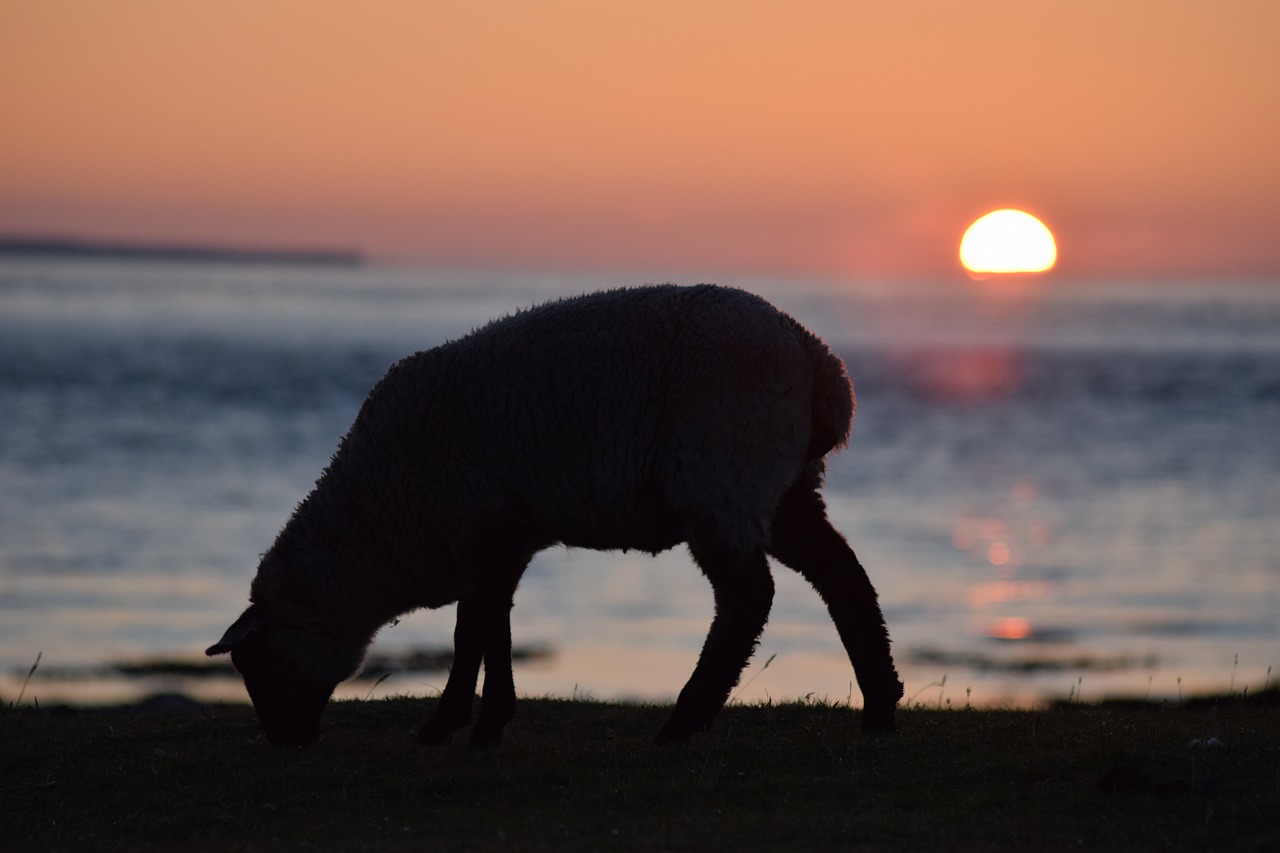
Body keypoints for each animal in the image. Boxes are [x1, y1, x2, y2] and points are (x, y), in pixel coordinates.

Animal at [204, 280, 906, 742]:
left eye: (256, 665)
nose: (286, 743)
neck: (377, 531)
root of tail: (822, 364)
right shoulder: (496, 538)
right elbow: (479, 629)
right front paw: (463, 721)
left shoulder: (478, 530)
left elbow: (482, 630)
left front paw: (476, 725)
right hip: (780, 486)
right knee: (842, 577)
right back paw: (880, 705)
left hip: (721, 475)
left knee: (747, 600)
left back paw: (685, 720)